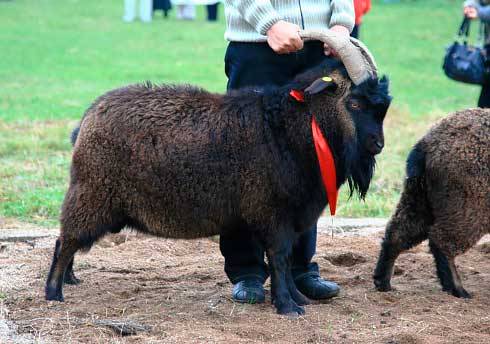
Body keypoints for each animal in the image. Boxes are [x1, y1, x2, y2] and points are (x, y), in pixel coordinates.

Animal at [46, 60, 390, 316]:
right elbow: (279, 257)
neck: (285, 127)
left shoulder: (292, 217)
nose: (378, 144)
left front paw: (298, 298)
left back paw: (71, 280)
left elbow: (288, 257)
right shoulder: (273, 213)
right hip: (91, 195)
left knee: (68, 241)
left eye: (383, 107)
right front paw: (288, 307)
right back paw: (54, 293)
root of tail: (86, 120)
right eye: (354, 101)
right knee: (65, 242)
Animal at [374, 109, 488, 298]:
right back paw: (457, 288)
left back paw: (382, 282)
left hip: (420, 196)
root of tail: (426, 144)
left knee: (397, 233)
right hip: (467, 204)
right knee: (441, 241)